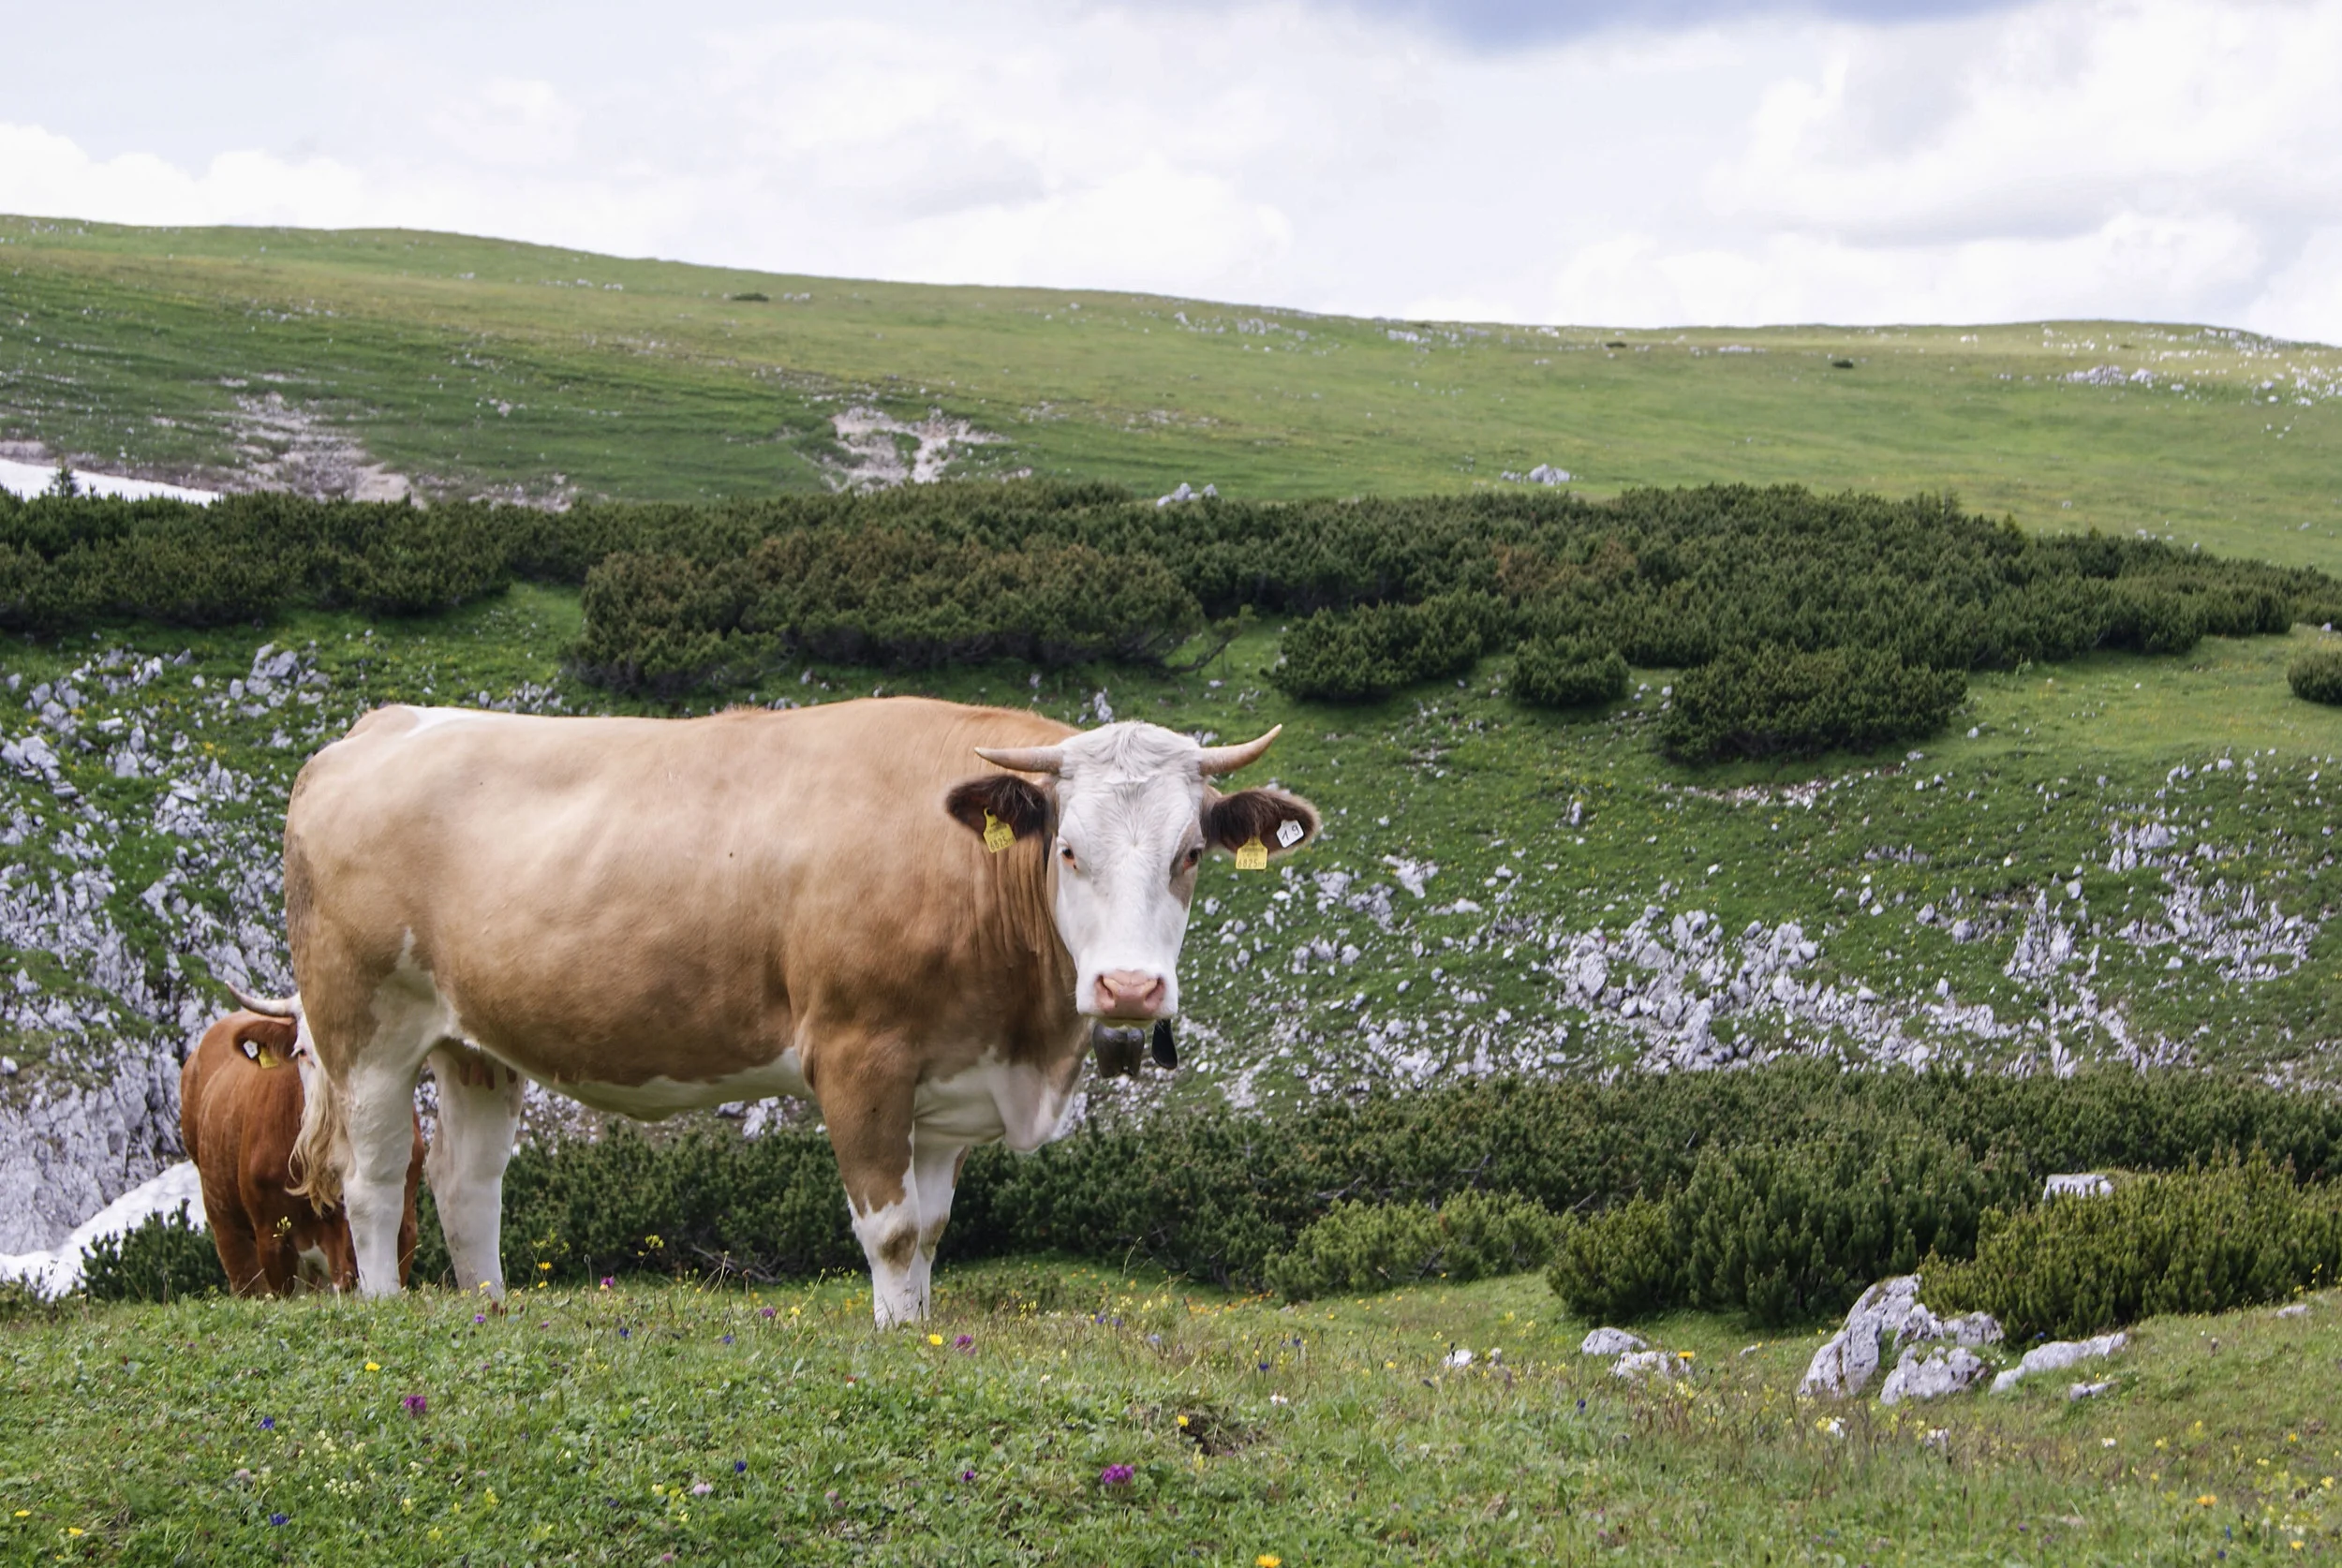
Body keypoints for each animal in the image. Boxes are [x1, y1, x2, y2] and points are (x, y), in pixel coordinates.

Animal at [280, 697, 1316, 1323]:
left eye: (1190, 853)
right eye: (1068, 850)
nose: (1129, 990)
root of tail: (378, 727)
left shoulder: (949, 1085)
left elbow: (929, 1230)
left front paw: (925, 1337)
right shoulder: (859, 1057)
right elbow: (889, 1230)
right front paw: (896, 1341)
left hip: (475, 1045)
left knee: (467, 1185)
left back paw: (488, 1310)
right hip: (364, 1027)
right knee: (375, 1181)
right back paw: (384, 1309)